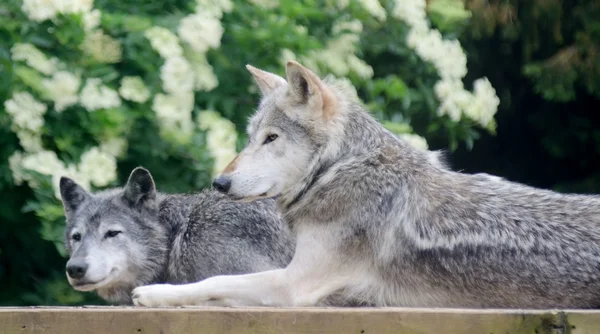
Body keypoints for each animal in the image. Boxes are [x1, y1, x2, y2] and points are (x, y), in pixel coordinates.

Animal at [134, 61, 600, 310]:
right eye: (251, 138)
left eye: (272, 138)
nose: (220, 182)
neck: (338, 170)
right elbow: (218, 285)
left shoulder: (293, 284)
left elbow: (215, 282)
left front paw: (154, 293)